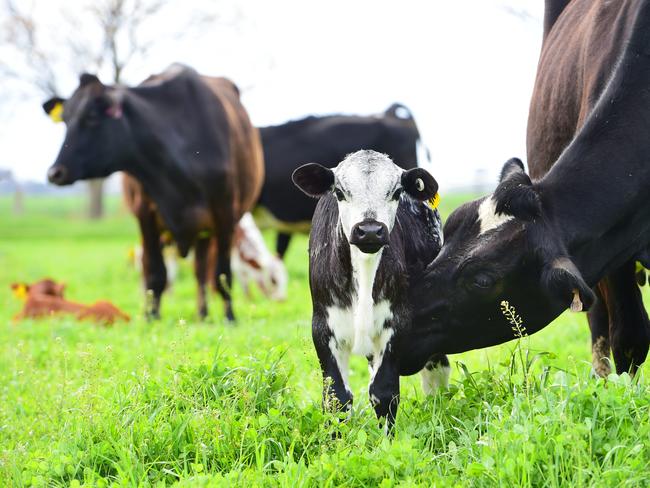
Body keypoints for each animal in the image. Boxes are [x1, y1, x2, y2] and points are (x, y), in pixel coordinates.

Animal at [42, 66, 264, 324]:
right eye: (65, 119)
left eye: (91, 117)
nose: (55, 172)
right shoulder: (145, 214)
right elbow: (156, 273)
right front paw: (151, 317)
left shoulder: (225, 213)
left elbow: (222, 274)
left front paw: (230, 317)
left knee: (201, 272)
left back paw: (203, 314)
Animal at [292, 151, 448, 428]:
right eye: (340, 192)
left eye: (396, 192)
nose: (370, 231)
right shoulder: (322, 326)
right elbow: (336, 398)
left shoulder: (397, 322)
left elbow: (384, 392)